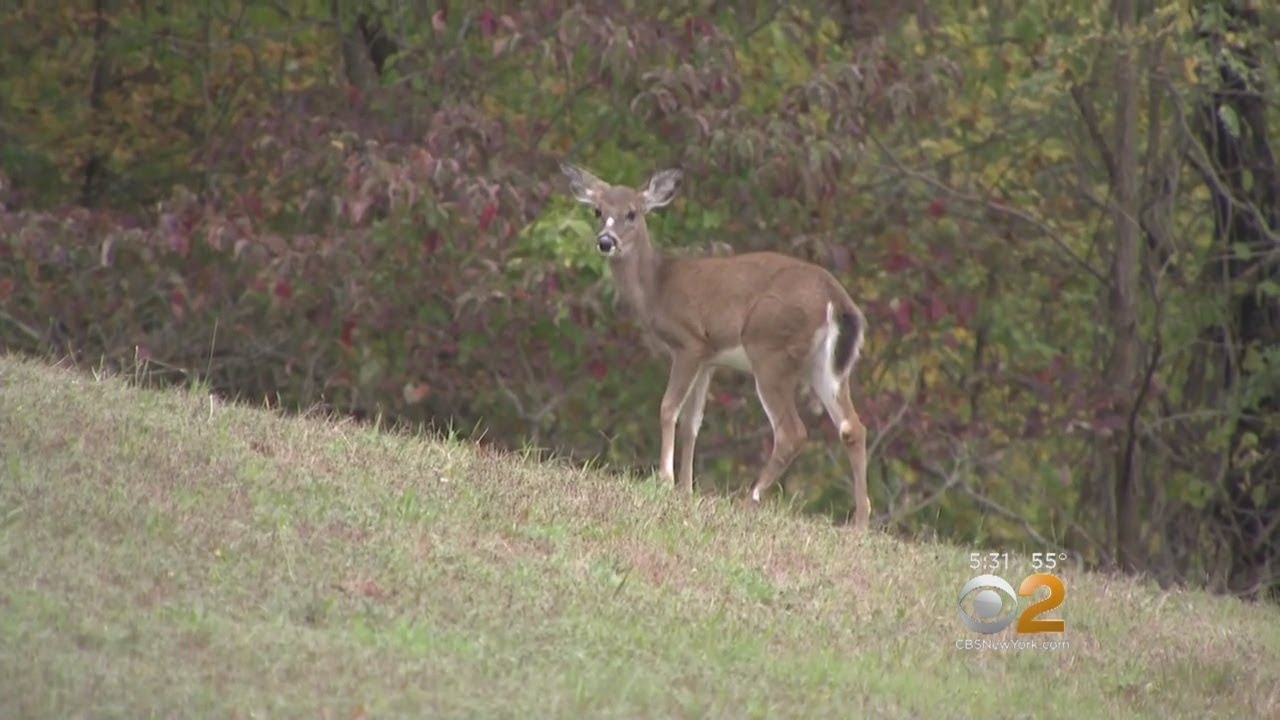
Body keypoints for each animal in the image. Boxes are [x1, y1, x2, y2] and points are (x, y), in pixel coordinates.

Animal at [559, 162, 873, 529]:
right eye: (597, 211)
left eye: (632, 212)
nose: (606, 242)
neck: (657, 287)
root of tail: (836, 298)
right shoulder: (710, 359)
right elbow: (693, 423)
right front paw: (686, 488)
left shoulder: (689, 342)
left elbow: (668, 408)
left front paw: (665, 480)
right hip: (826, 366)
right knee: (853, 427)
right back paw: (860, 522)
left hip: (770, 350)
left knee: (792, 431)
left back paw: (749, 500)